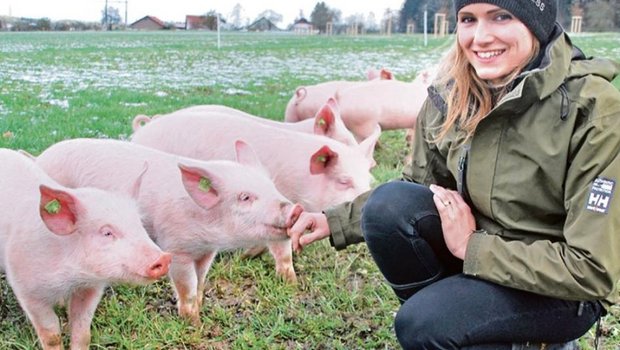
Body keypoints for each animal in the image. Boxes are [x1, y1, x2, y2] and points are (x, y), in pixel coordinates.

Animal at [0, 148, 171, 350]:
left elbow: (82, 329)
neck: (71, 278)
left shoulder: (90, 288)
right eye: (106, 232)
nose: (164, 258)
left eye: (139, 224)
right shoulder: (27, 290)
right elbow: (51, 335)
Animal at [35, 137, 302, 326]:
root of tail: (42, 157)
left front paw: (200, 307)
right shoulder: (176, 247)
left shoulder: (207, 251)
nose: (295, 209)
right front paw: (194, 323)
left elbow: (201, 280)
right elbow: (187, 285)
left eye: (271, 185)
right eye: (245, 197)